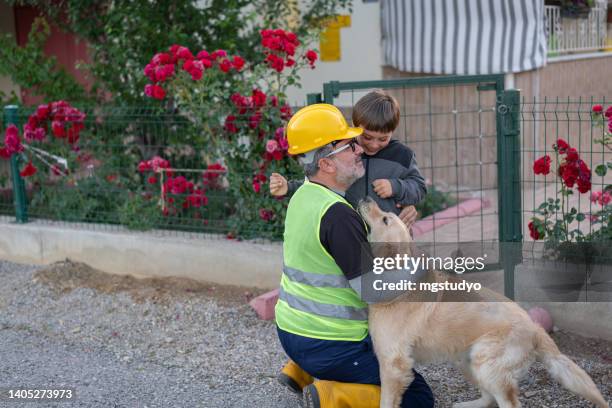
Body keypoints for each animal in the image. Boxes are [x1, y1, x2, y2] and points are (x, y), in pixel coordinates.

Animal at [356, 198, 608, 408]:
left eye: (385, 218)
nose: (366, 197)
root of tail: (535, 328)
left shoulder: (392, 365)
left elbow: (386, 401)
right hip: (466, 359)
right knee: (488, 399)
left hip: (486, 364)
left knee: (507, 402)